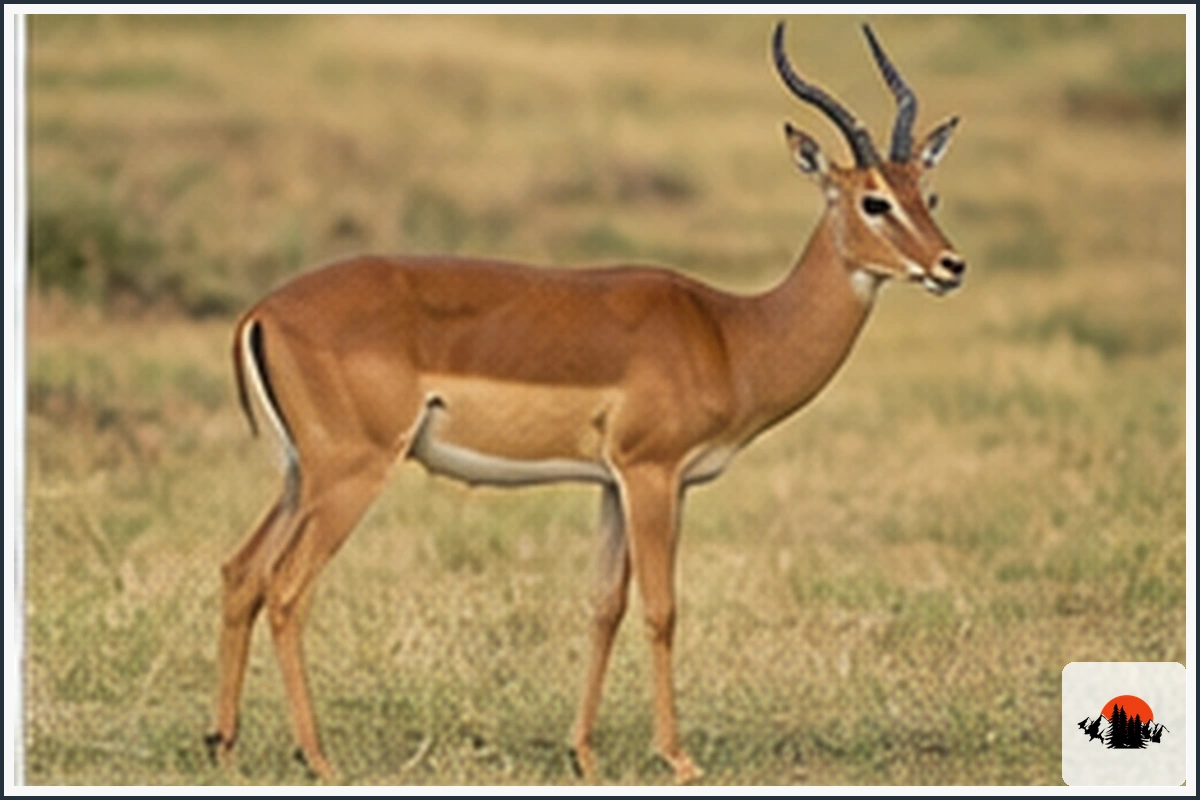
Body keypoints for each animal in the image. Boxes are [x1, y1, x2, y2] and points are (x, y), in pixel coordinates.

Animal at [206, 21, 965, 783]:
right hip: (351, 473)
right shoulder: (652, 476)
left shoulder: (612, 483)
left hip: (300, 475)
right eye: (873, 200)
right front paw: (678, 757)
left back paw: (225, 747)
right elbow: (661, 608)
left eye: (927, 193)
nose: (950, 266)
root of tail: (263, 312)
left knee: (242, 571)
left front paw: (584, 753)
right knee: (286, 587)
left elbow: (604, 605)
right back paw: (317, 758)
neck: (732, 332)